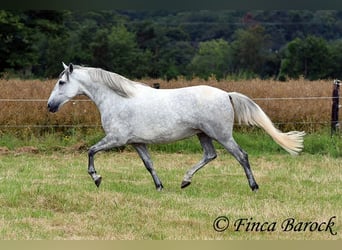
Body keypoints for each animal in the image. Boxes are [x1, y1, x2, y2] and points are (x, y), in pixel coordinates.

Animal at [47, 63, 304, 191]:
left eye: (61, 82)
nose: (50, 106)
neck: (117, 98)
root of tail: (226, 94)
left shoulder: (116, 139)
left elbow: (90, 151)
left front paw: (97, 178)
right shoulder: (137, 143)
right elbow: (149, 165)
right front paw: (159, 186)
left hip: (221, 134)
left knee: (242, 156)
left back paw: (254, 186)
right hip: (203, 135)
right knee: (210, 155)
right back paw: (185, 181)